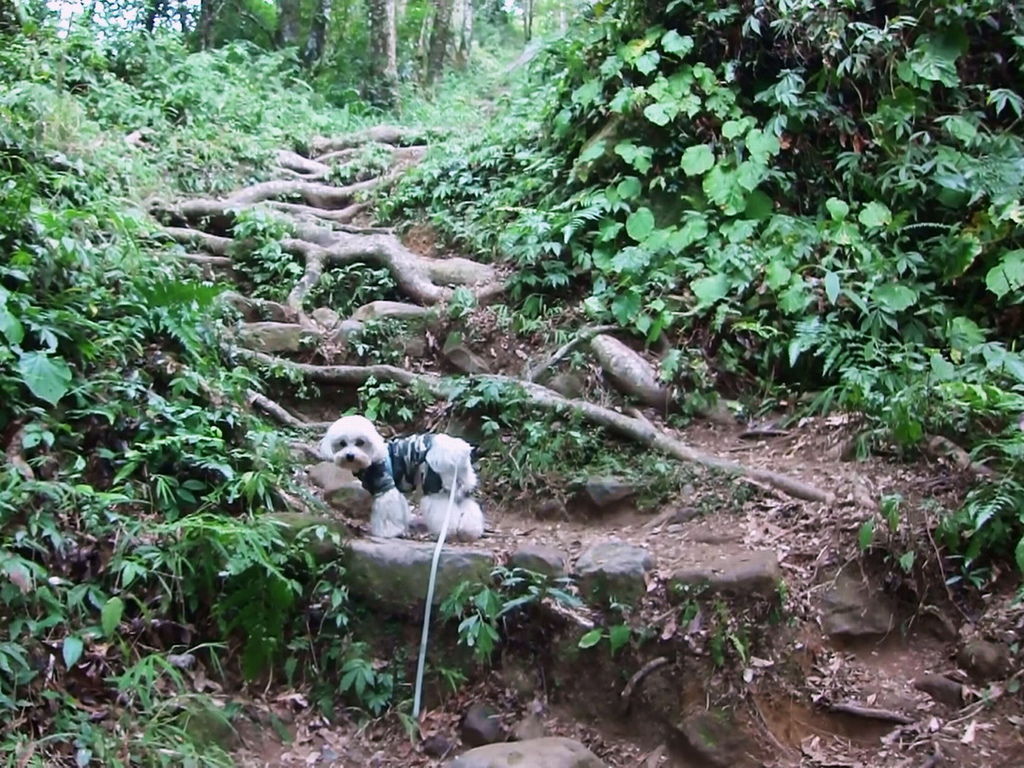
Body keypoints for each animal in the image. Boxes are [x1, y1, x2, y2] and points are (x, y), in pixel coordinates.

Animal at [315, 415, 483, 540]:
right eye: (342, 443)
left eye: (360, 442)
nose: (350, 456)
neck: (371, 458)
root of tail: (454, 450)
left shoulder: (384, 485)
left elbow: (387, 511)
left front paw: (387, 532)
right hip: (459, 484)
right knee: (467, 506)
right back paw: (470, 531)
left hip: (433, 482)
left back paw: (447, 531)